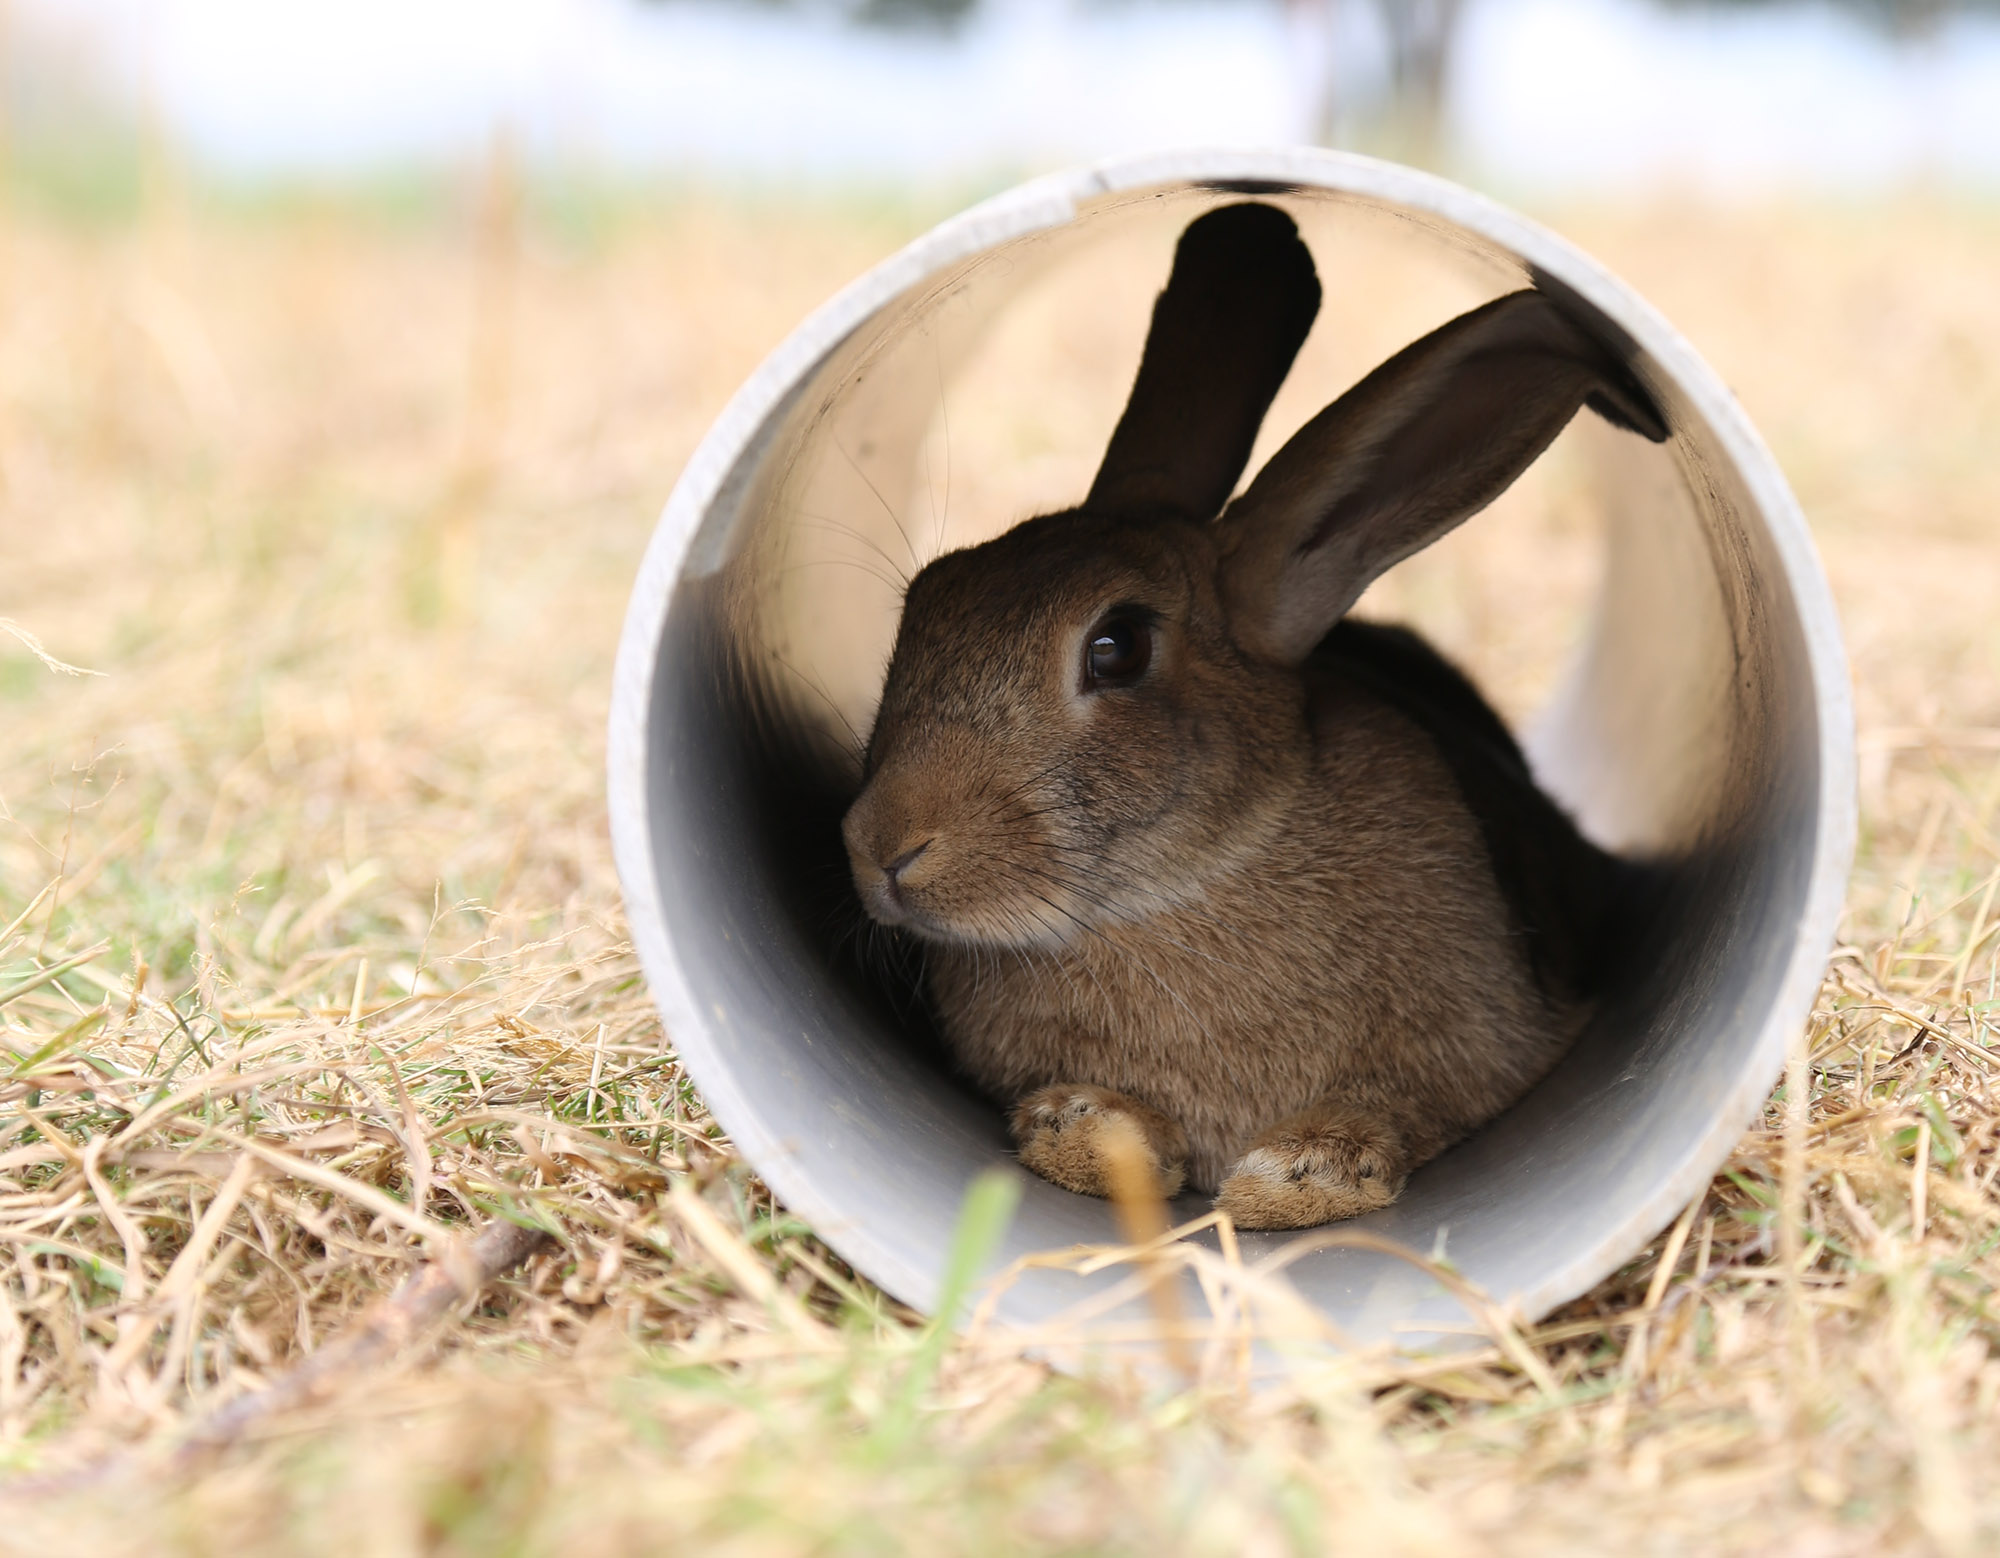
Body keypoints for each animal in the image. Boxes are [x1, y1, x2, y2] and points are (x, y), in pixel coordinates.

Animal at [840, 201, 1668, 1229]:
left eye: (1117, 646)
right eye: (925, 600)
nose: (882, 848)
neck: (1186, 888)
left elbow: (1407, 1112)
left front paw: (1301, 1175)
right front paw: (1086, 1129)